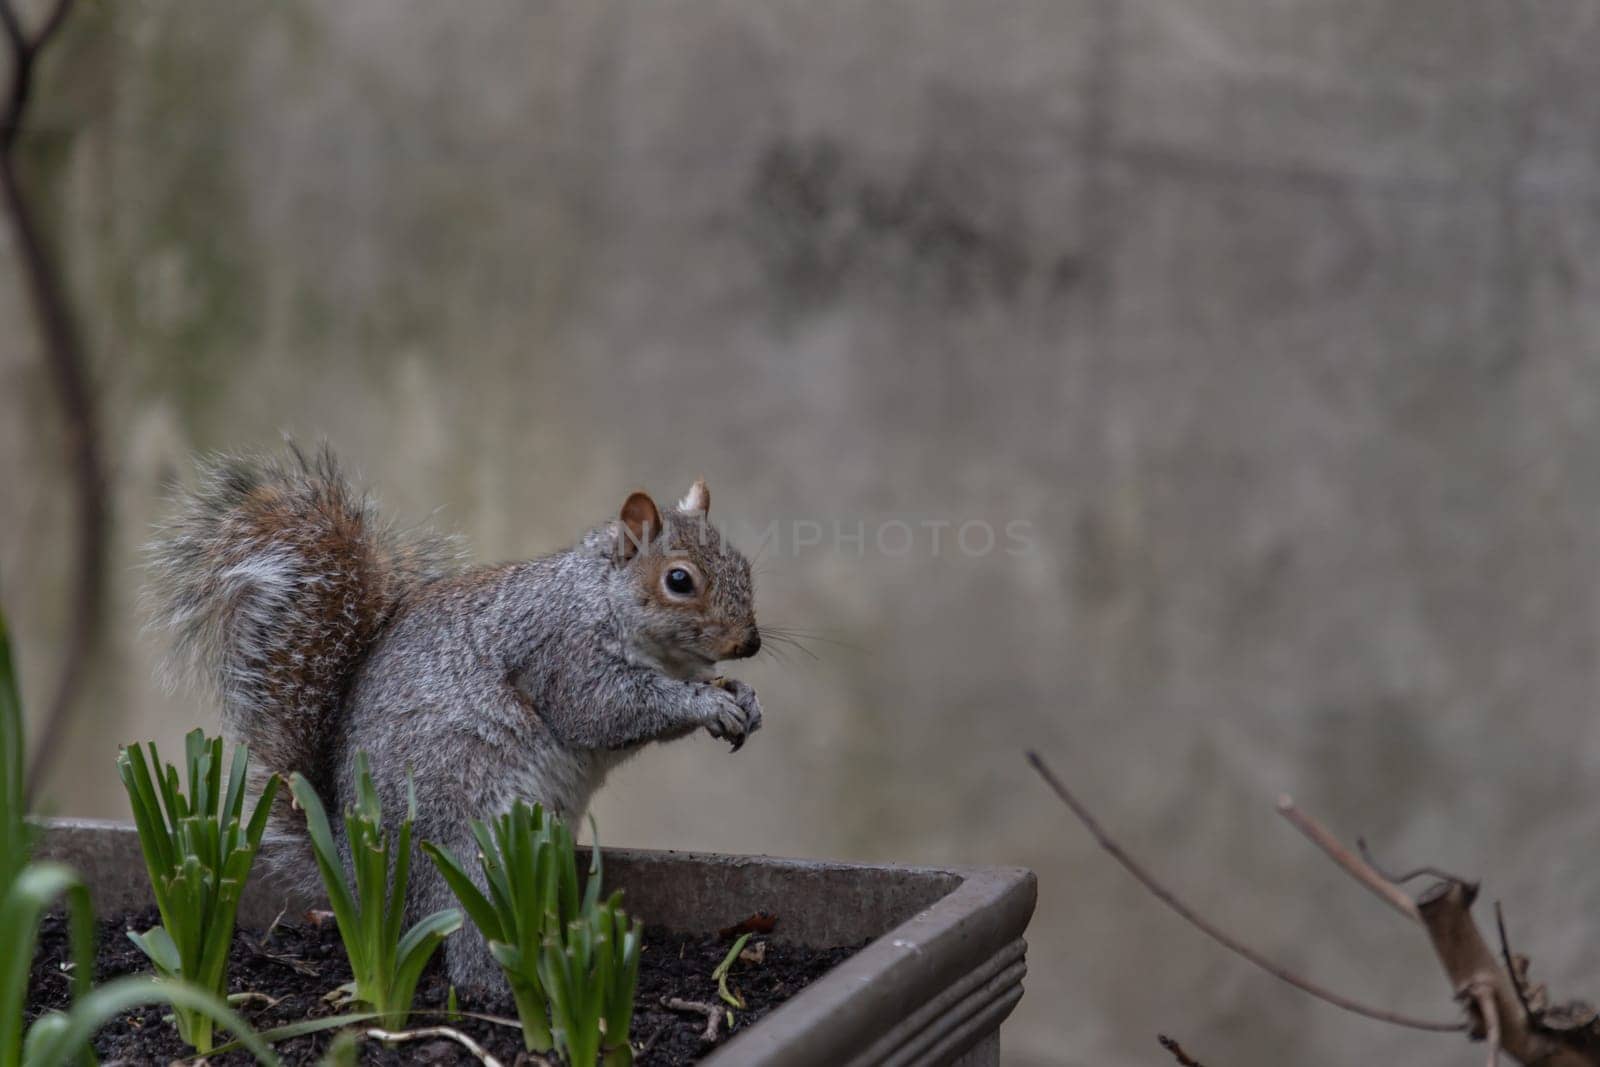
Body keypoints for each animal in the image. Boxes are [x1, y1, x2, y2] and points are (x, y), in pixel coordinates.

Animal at [144, 441, 761, 991]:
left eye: (744, 565)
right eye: (679, 580)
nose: (750, 643)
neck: (603, 598)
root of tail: (352, 870)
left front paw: (743, 697)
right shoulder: (565, 657)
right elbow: (605, 712)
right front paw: (707, 703)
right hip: (472, 851)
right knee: (471, 942)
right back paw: (514, 987)